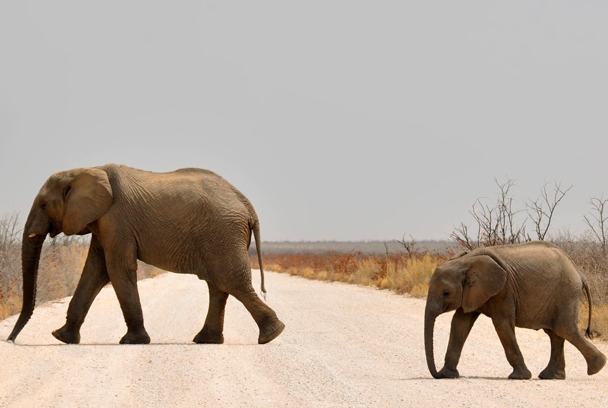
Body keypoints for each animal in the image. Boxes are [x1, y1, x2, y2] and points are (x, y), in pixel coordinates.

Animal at [7, 164, 284, 346]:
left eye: (44, 205)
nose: (10, 340)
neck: (87, 169)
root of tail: (247, 205)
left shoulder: (116, 219)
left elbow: (117, 269)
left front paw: (132, 341)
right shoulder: (103, 222)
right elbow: (95, 271)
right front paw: (62, 337)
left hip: (223, 232)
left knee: (230, 282)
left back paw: (272, 335)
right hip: (221, 236)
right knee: (218, 285)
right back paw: (208, 340)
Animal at [426, 242, 604, 380]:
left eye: (446, 293)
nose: (437, 375)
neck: (465, 261)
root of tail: (579, 272)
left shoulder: (503, 290)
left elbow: (502, 325)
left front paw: (519, 377)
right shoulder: (473, 293)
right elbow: (460, 323)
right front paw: (448, 374)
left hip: (565, 293)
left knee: (565, 330)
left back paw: (597, 367)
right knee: (556, 334)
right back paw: (552, 376)